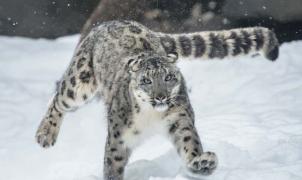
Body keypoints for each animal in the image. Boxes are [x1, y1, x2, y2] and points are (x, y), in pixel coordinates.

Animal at [35, 20, 278, 179]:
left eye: (169, 77)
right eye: (146, 80)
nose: (160, 96)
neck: (151, 116)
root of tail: (109, 22)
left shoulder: (180, 119)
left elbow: (189, 142)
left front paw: (201, 162)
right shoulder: (119, 137)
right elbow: (113, 163)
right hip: (79, 82)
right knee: (59, 99)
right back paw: (45, 135)